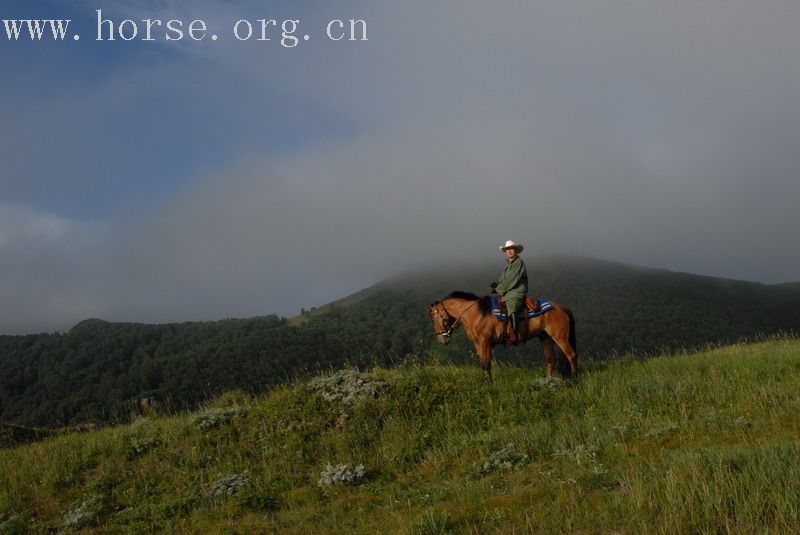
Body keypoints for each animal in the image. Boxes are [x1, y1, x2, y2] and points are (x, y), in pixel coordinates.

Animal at [428, 294, 580, 382]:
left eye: (433, 319)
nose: (442, 340)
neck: (475, 313)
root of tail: (560, 307)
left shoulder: (485, 342)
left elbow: (486, 363)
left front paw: (489, 384)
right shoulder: (477, 344)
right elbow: (483, 364)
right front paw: (485, 382)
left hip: (560, 338)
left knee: (571, 355)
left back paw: (574, 379)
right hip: (545, 337)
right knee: (551, 359)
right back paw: (548, 381)